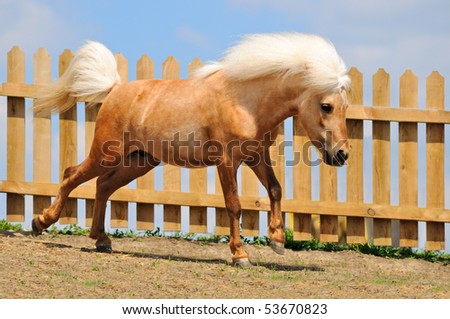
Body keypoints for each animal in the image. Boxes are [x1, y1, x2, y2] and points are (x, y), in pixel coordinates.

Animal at [33, 32, 354, 268]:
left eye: (345, 106)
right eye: (326, 106)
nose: (342, 154)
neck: (245, 101)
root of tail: (114, 89)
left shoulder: (255, 156)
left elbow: (275, 190)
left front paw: (277, 240)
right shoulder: (227, 161)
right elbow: (234, 205)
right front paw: (240, 255)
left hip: (139, 161)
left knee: (103, 186)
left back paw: (101, 239)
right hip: (105, 154)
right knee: (72, 175)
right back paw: (41, 222)